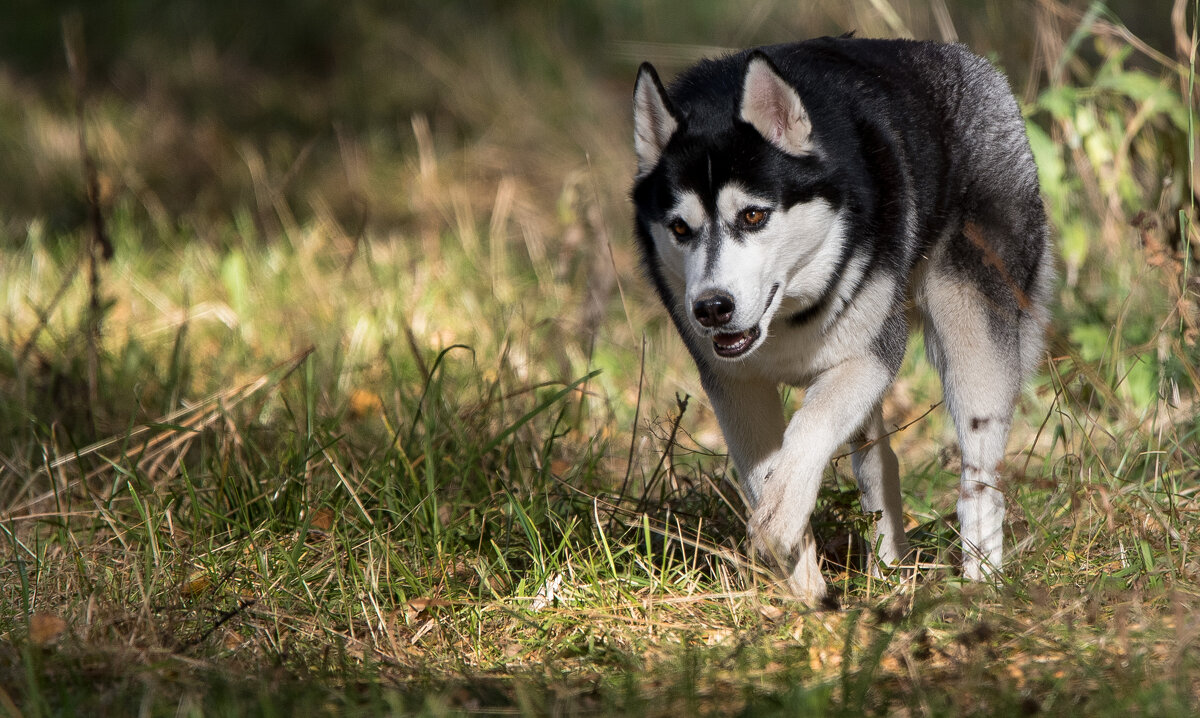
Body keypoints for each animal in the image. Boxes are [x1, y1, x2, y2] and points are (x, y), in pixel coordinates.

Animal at [628, 37, 1051, 602]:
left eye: (753, 215)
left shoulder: (869, 356)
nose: (712, 307)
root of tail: (968, 61)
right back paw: (889, 574)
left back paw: (979, 582)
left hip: (973, 340)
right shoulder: (735, 386)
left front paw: (778, 522)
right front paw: (806, 594)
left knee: (979, 480)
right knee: (878, 464)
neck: (786, 319)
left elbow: (809, 429)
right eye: (679, 228)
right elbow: (767, 472)